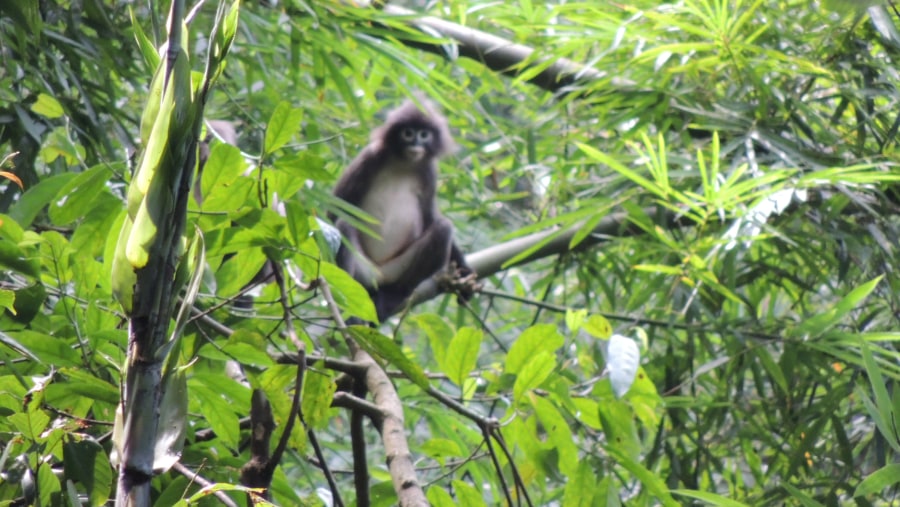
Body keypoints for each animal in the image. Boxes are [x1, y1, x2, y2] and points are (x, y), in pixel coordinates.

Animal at [332, 97, 474, 324]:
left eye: (424, 134)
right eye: (408, 133)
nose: (415, 144)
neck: (404, 162)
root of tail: (380, 275)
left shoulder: (429, 172)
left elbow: (431, 219)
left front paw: (464, 271)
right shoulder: (370, 157)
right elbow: (336, 208)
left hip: (396, 271)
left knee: (443, 228)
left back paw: (392, 296)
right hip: (365, 271)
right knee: (345, 225)